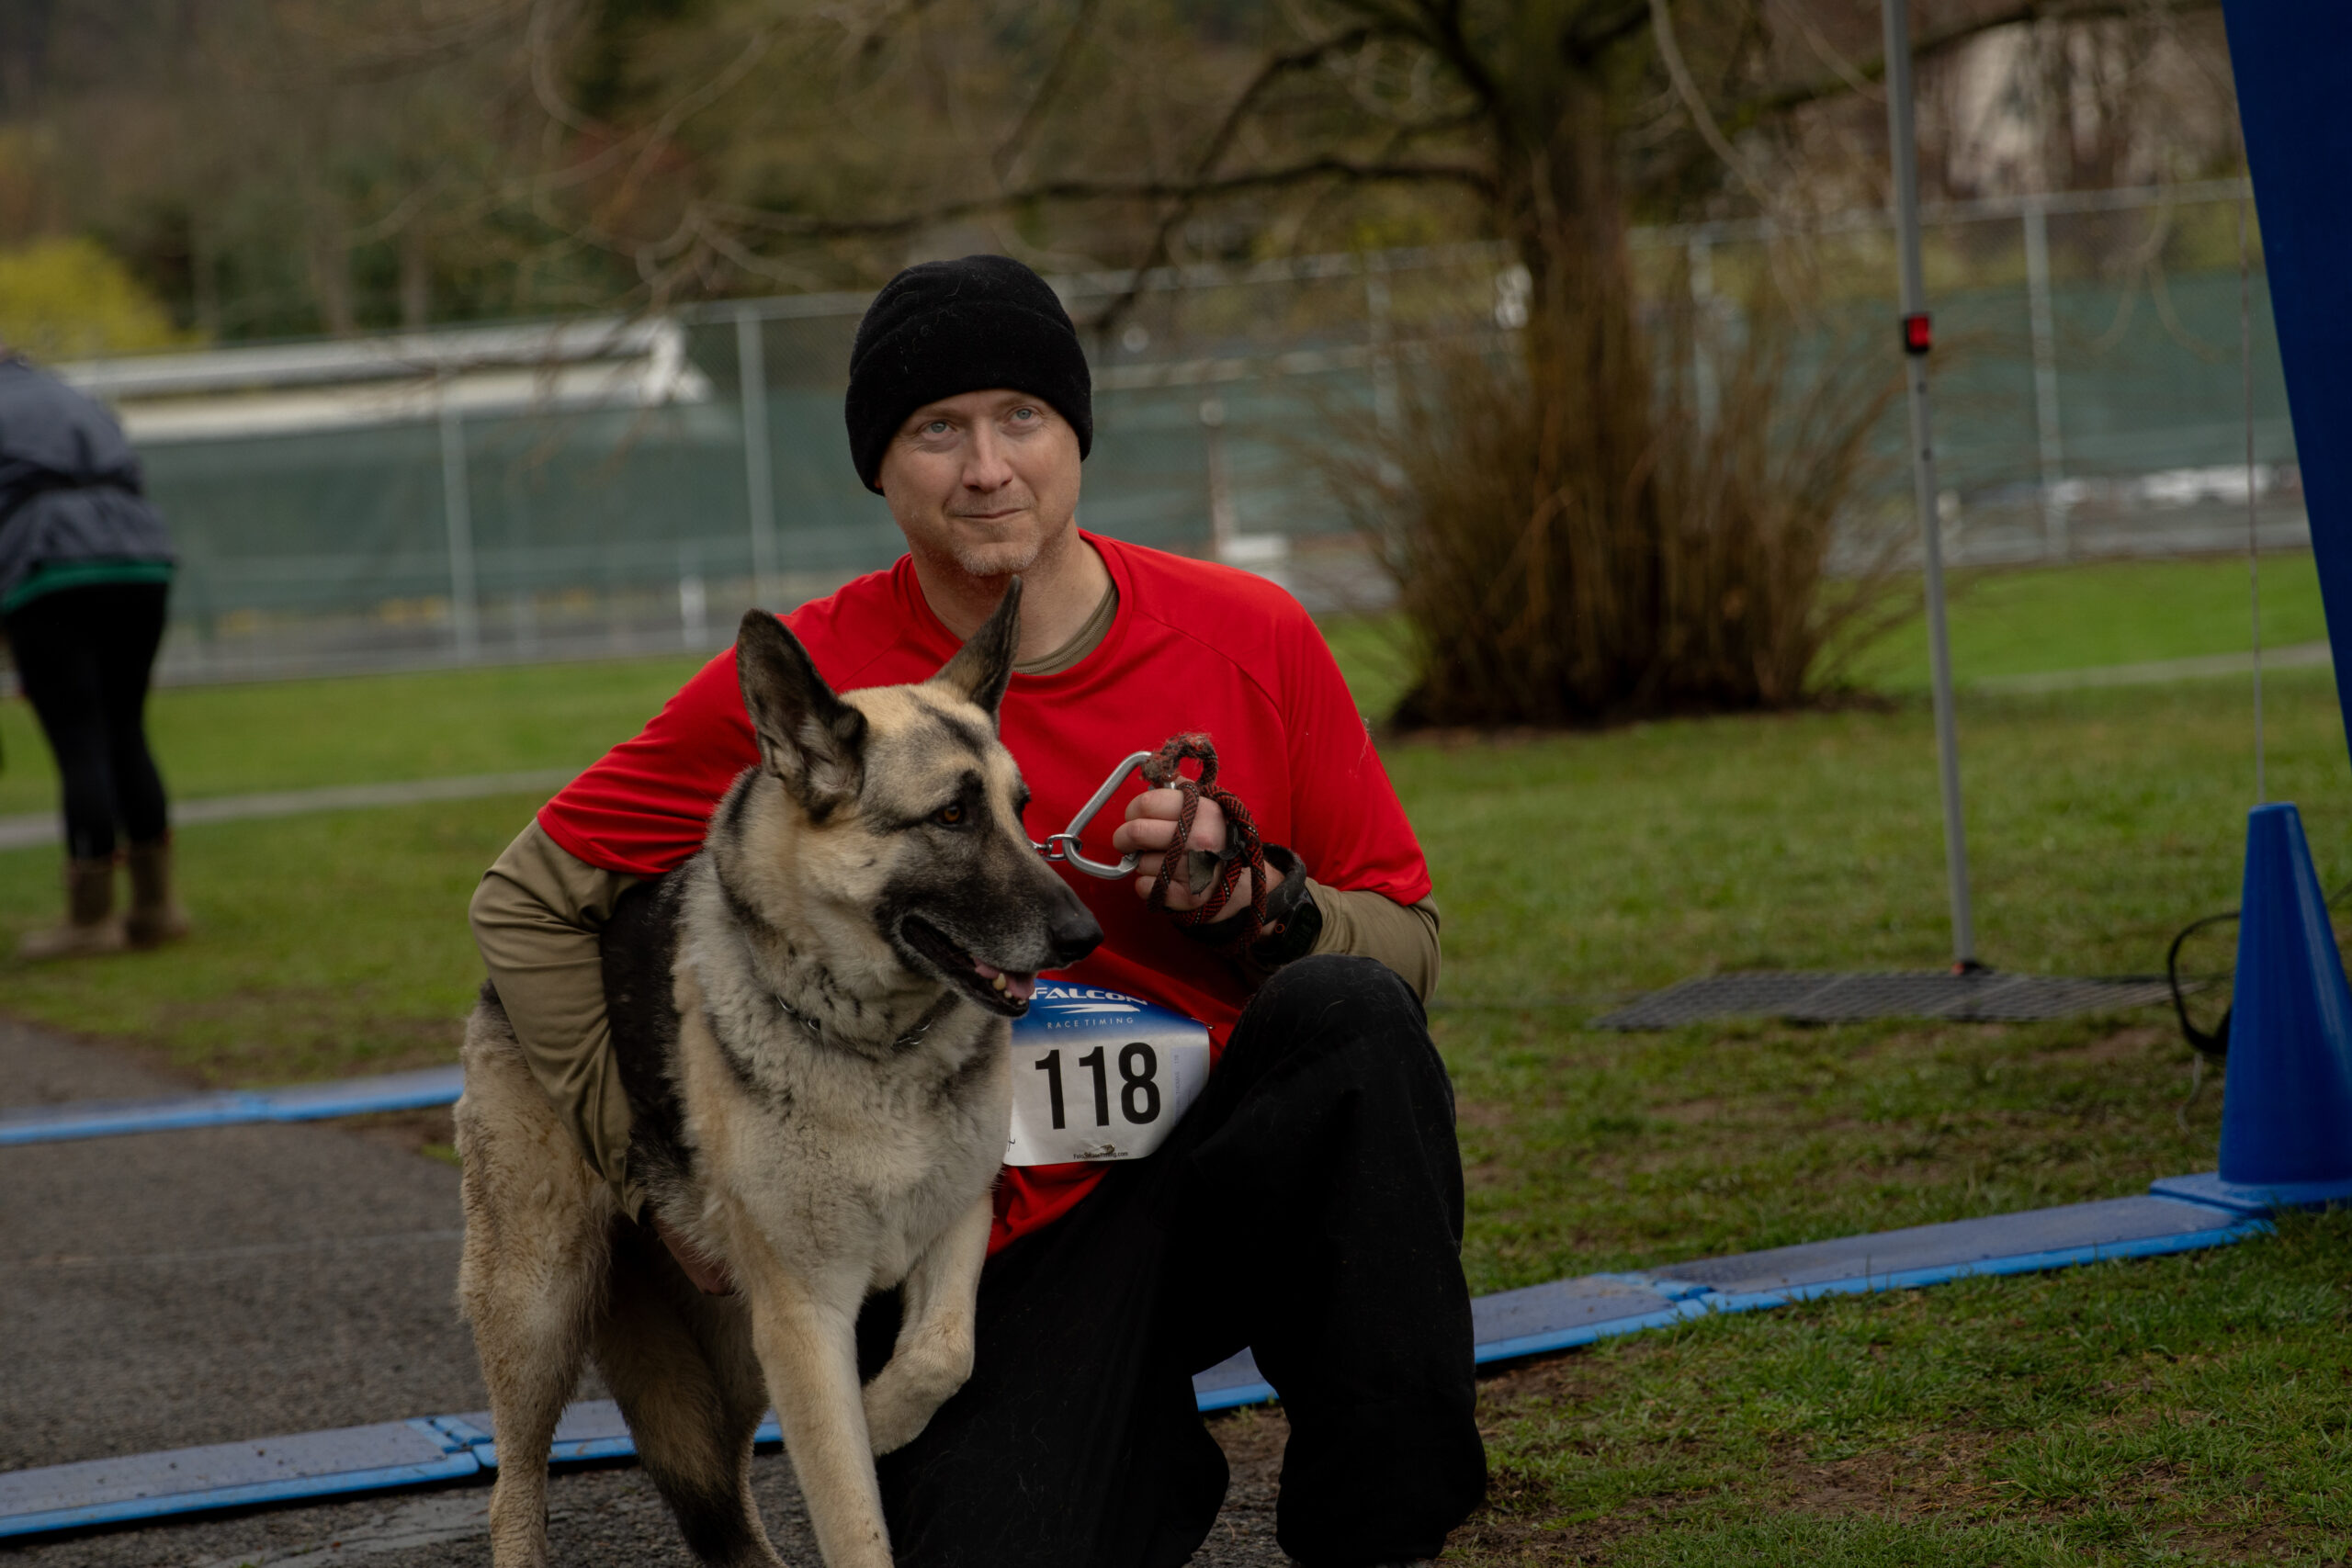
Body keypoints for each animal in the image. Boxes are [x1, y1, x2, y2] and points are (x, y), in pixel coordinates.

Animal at [455, 580, 1102, 1567]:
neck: (876, 1045)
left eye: (1021, 810)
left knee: (720, 1478)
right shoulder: (803, 1317)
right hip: (539, 1305)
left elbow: (944, 1353)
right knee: (514, 1484)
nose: (1084, 935)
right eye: (952, 817)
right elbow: (850, 1510)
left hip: (727, 1342)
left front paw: (882, 1418)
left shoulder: (954, 1225)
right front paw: (867, 1436)